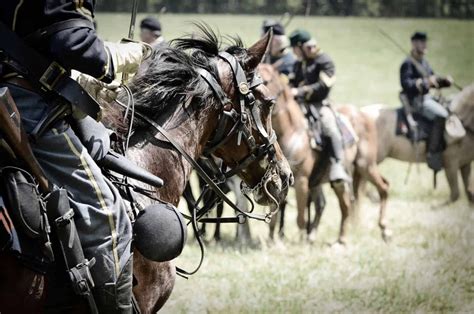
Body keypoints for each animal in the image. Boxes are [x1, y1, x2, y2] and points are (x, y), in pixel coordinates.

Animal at [260, 63, 392, 244]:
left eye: (265, 80)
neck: (292, 131)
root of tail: (363, 115)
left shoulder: (301, 182)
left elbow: (300, 218)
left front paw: (300, 241)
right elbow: (274, 216)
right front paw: (272, 241)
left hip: (366, 166)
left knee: (382, 188)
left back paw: (382, 230)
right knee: (342, 205)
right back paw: (335, 238)